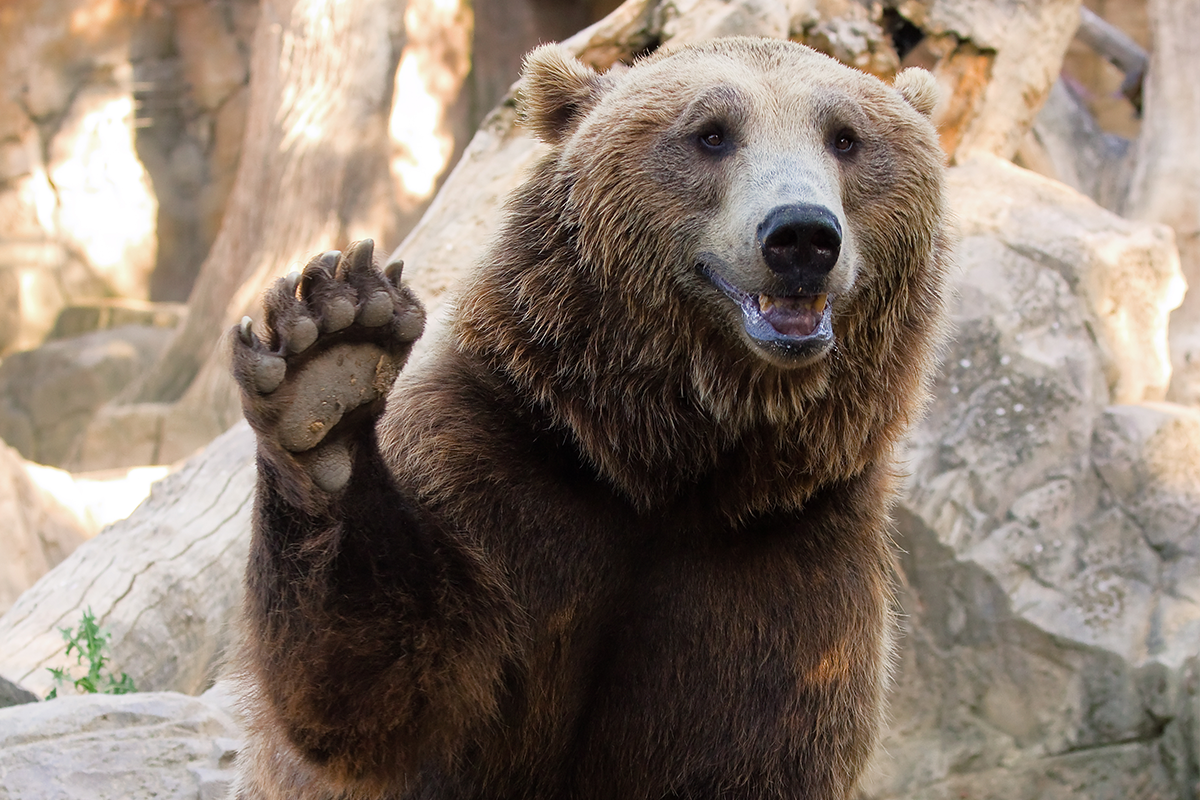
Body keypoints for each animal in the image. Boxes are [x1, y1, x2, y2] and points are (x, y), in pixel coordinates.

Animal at [229, 34, 950, 796]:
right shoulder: (500, 467)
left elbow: (751, 745)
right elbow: (385, 690)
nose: (802, 235)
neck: (670, 465)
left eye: (845, 137)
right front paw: (328, 368)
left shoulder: (792, 557)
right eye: (710, 133)